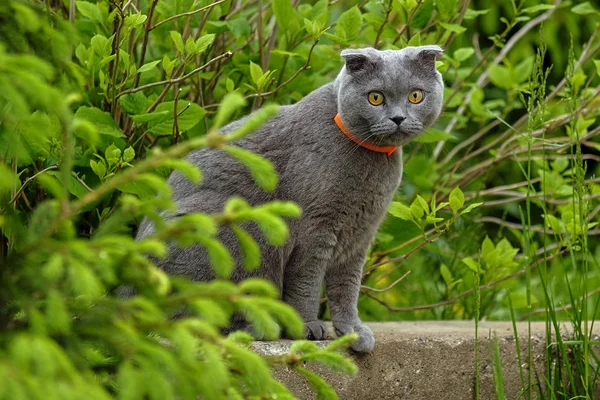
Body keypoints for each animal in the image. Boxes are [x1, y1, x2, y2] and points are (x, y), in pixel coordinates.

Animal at [132, 46, 440, 354]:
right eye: (375, 97)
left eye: (415, 95)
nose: (398, 118)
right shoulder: (313, 229)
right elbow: (306, 282)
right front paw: (307, 327)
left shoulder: (359, 235)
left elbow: (347, 288)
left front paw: (352, 331)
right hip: (238, 225)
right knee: (189, 314)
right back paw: (257, 328)